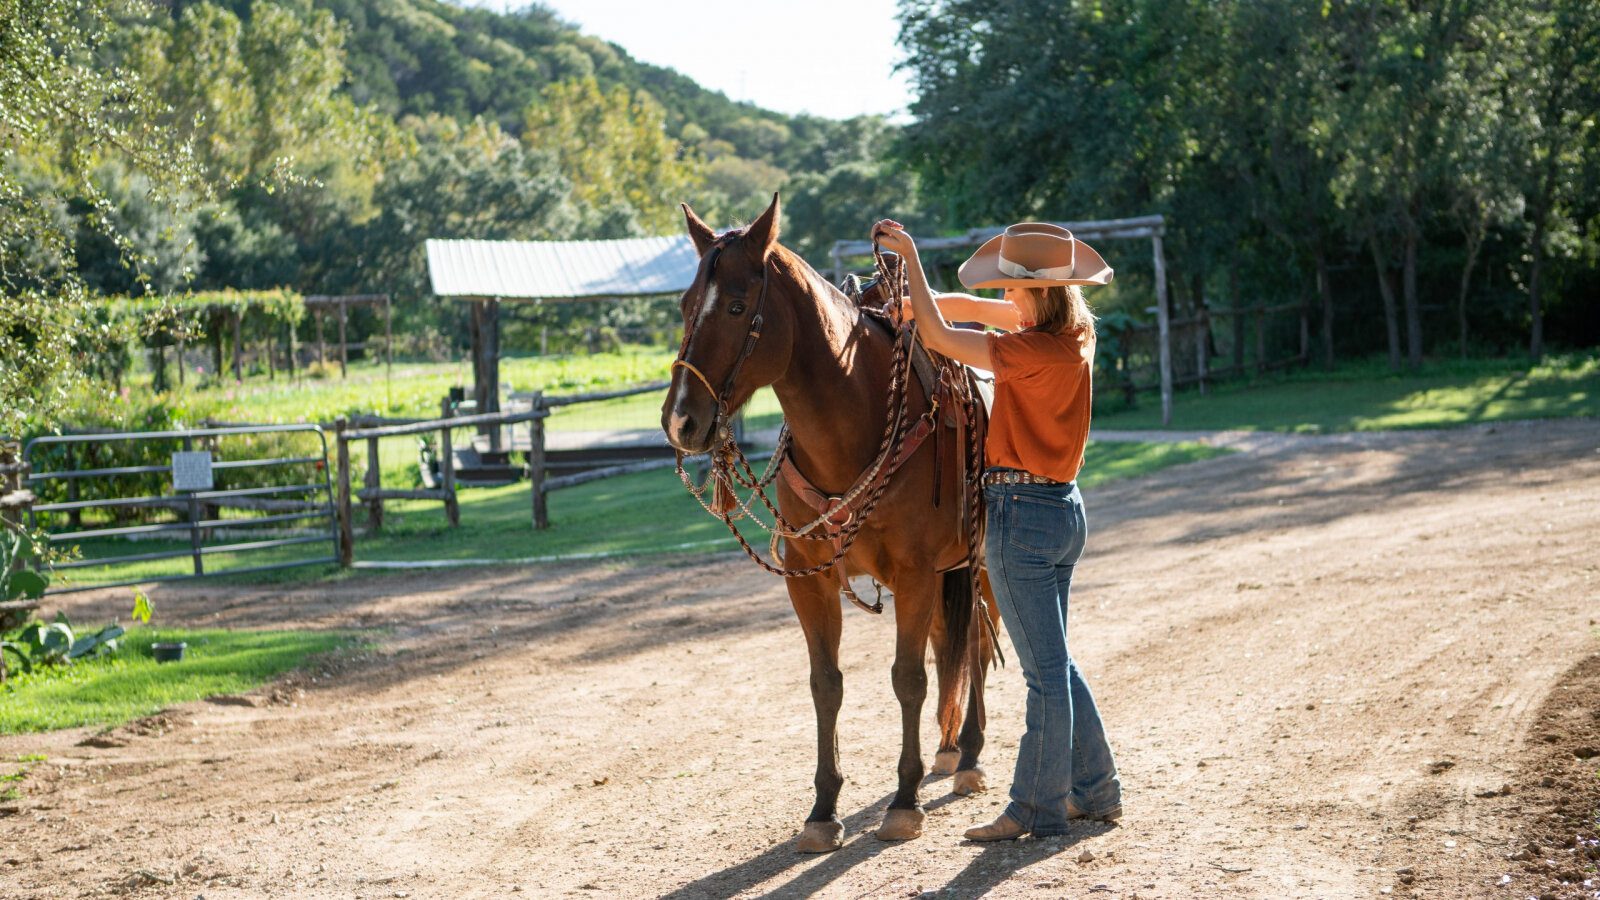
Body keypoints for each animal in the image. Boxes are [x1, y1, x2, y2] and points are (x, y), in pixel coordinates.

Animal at [656, 194, 992, 845]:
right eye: (685, 305)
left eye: (737, 306)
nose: (681, 420)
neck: (854, 418)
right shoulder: (809, 581)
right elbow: (826, 684)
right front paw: (822, 808)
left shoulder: (915, 574)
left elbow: (907, 677)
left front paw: (904, 800)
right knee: (951, 642)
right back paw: (947, 751)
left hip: (983, 560)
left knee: (977, 644)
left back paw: (968, 755)